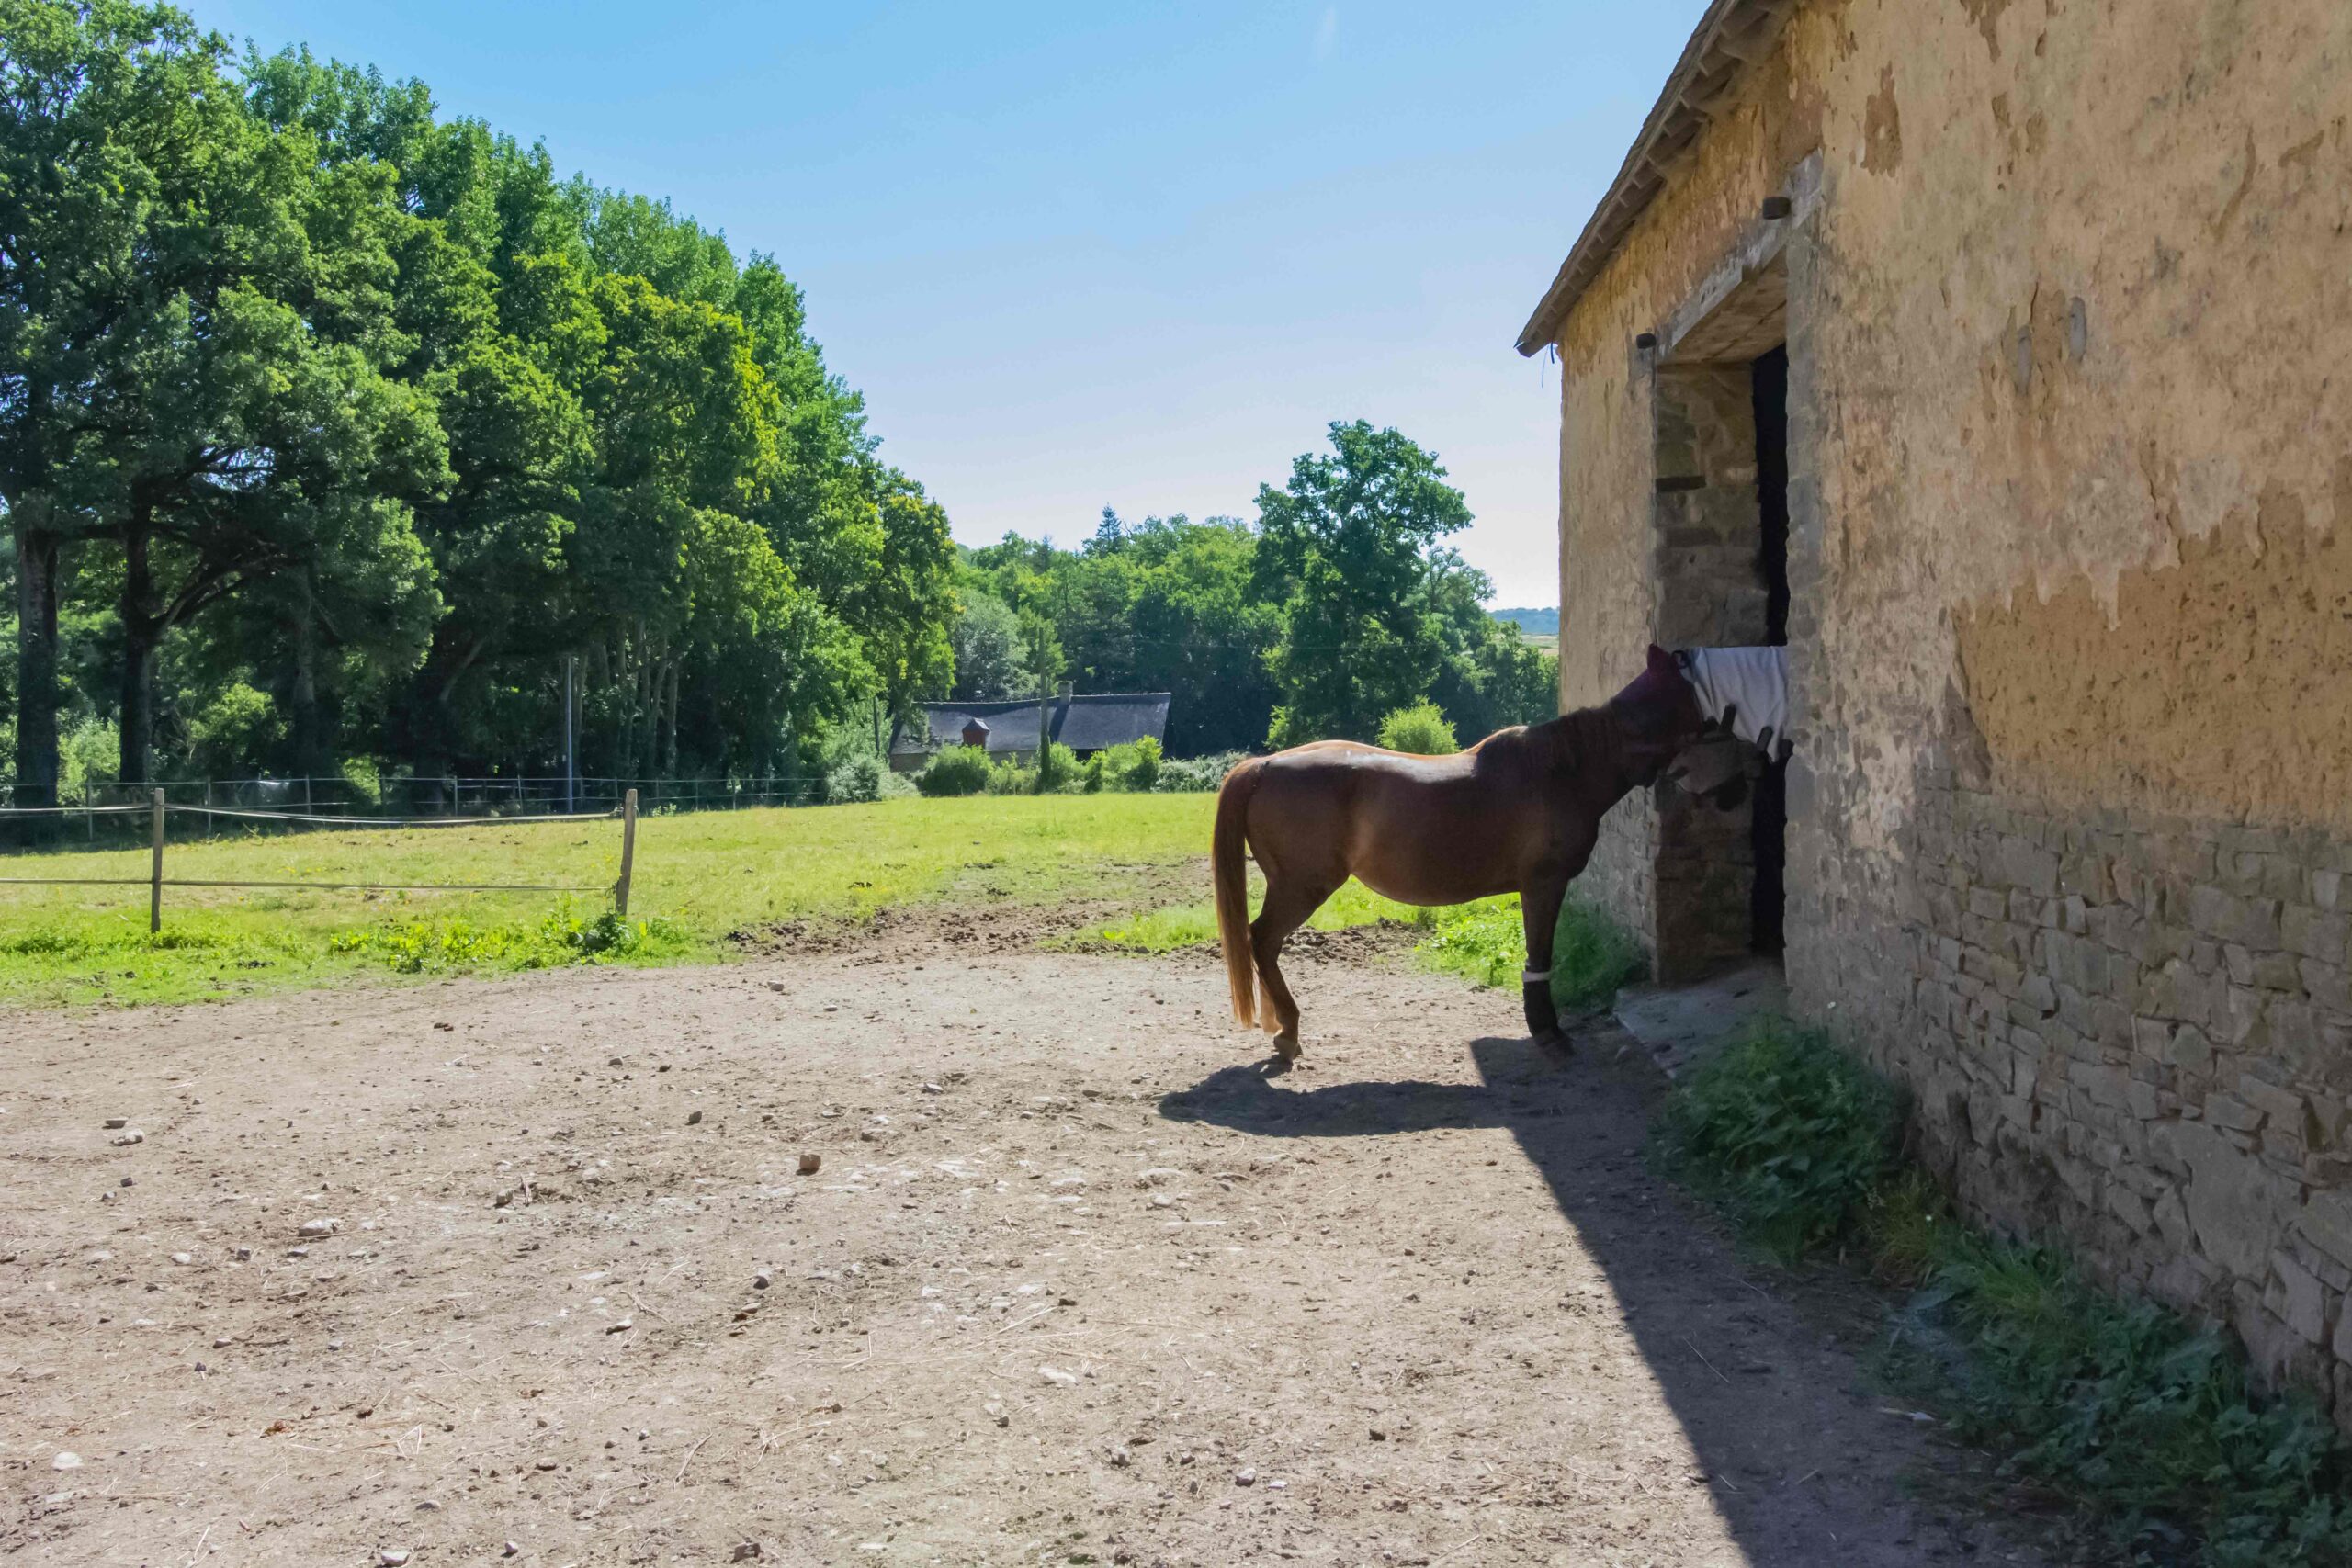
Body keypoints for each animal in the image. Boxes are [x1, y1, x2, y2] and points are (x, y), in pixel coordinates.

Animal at [1210, 643, 1718, 1063]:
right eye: (1692, 688)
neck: (1564, 769)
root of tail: (1265, 765)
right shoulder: (1544, 884)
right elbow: (1540, 955)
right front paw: (1548, 1032)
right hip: (1301, 887)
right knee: (1263, 940)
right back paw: (1290, 1031)